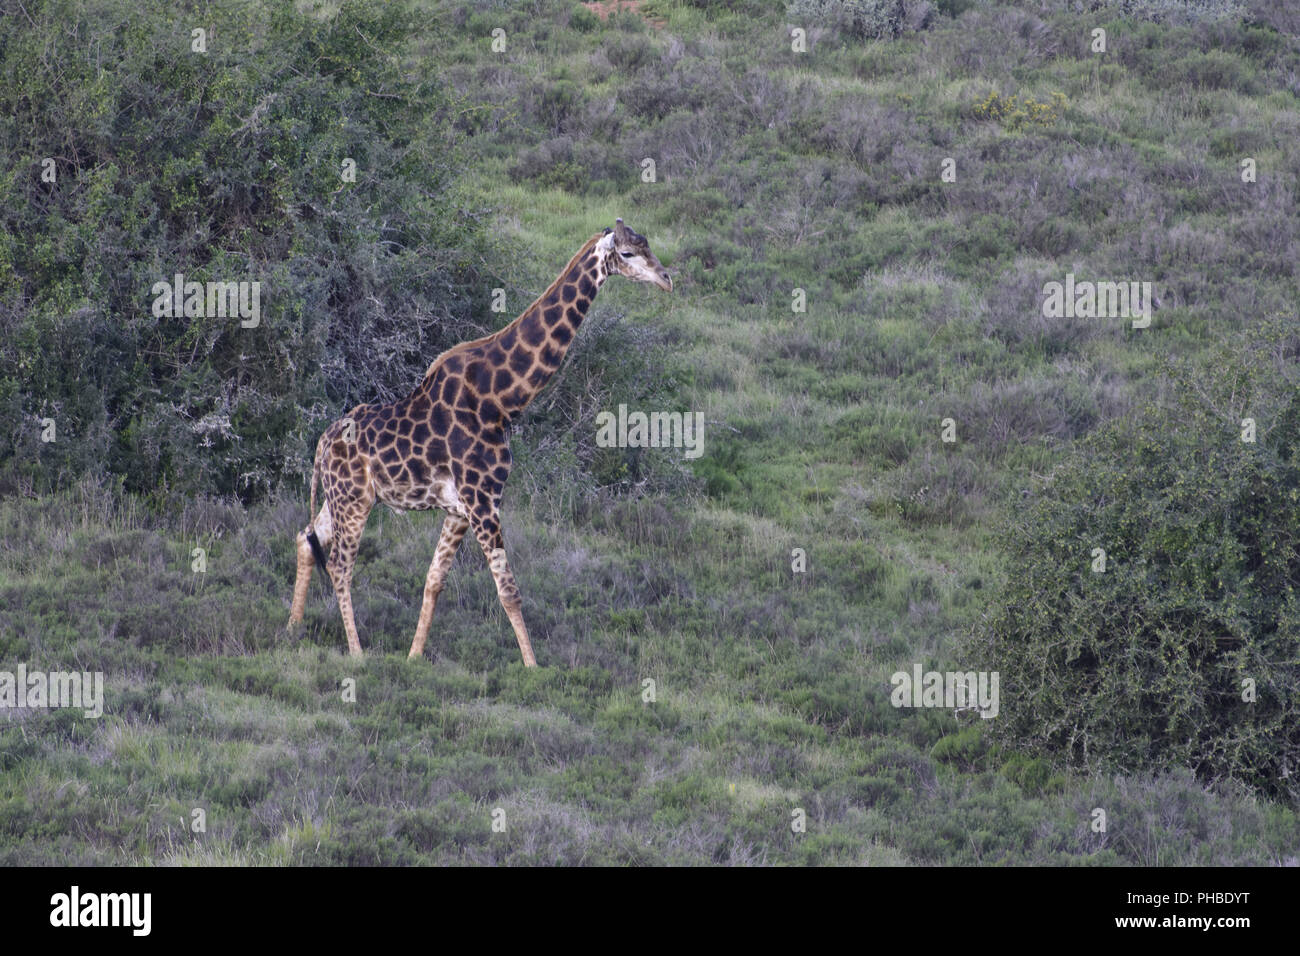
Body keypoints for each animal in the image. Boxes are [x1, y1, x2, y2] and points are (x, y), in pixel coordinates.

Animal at [287, 219, 672, 666]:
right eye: (627, 253)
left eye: (647, 245)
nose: (667, 279)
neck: (500, 400)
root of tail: (321, 443)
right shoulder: (484, 499)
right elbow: (509, 591)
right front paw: (533, 667)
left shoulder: (460, 508)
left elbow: (434, 580)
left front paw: (414, 658)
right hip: (353, 501)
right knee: (339, 564)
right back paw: (357, 653)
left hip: (343, 496)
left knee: (306, 539)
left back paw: (292, 629)